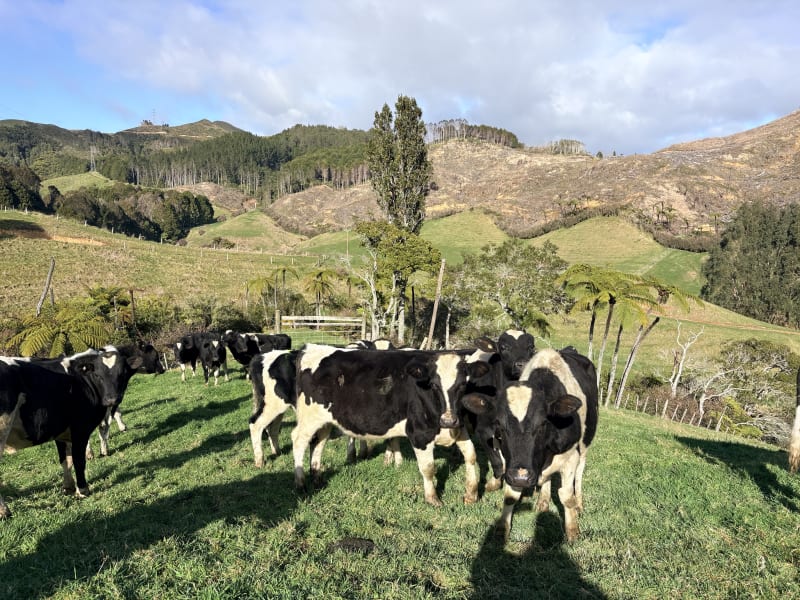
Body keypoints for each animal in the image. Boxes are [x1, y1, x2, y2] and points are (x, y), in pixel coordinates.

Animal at [0, 347, 143, 517]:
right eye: (98, 375)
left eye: (122, 373)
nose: (111, 400)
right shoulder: (80, 429)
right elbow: (79, 461)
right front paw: (82, 490)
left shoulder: (60, 431)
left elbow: (66, 460)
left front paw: (68, 487)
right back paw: (4, 511)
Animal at [291, 344, 489, 506]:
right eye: (434, 385)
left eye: (462, 384)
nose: (448, 420)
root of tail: (311, 348)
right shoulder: (419, 433)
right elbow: (428, 468)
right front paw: (432, 498)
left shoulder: (459, 427)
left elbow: (471, 455)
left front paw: (471, 494)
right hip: (309, 419)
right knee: (299, 441)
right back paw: (300, 483)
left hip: (324, 421)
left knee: (318, 443)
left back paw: (317, 478)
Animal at [461, 347, 598, 542]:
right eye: (499, 424)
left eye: (542, 423)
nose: (522, 478)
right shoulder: (512, 464)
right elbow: (510, 495)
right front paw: (502, 528)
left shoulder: (571, 455)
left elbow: (566, 496)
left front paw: (572, 531)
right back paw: (543, 501)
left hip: (585, 445)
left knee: (579, 474)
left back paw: (578, 503)